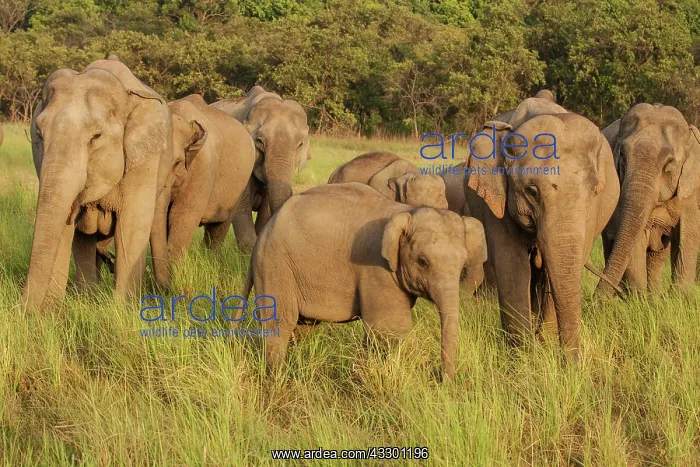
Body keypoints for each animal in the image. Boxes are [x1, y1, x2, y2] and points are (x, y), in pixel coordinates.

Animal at [23, 57, 173, 310]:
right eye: (39, 135)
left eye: (96, 137)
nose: (23, 311)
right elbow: (64, 229)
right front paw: (52, 312)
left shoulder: (143, 160)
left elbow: (132, 225)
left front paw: (123, 309)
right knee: (84, 240)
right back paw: (87, 297)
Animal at [163, 94, 256, 268]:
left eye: (177, 163)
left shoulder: (204, 165)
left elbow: (180, 215)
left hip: (239, 186)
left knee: (218, 229)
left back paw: (211, 263)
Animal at [241, 182, 487, 379]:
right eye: (423, 262)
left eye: (463, 264)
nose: (442, 378)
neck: (405, 212)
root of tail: (263, 234)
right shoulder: (376, 267)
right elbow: (390, 328)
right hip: (274, 264)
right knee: (280, 324)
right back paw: (277, 378)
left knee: (303, 326)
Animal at [466, 102, 619, 357]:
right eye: (531, 191)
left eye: (593, 190)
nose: (571, 362)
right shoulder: (496, 204)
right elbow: (512, 266)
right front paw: (522, 357)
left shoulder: (591, 213)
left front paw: (544, 345)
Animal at [597, 104, 700, 295]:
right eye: (622, 156)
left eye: (669, 164)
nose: (594, 300)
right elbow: (634, 240)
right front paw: (638, 298)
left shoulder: (691, 189)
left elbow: (687, 236)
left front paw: (680, 297)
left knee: (657, 253)